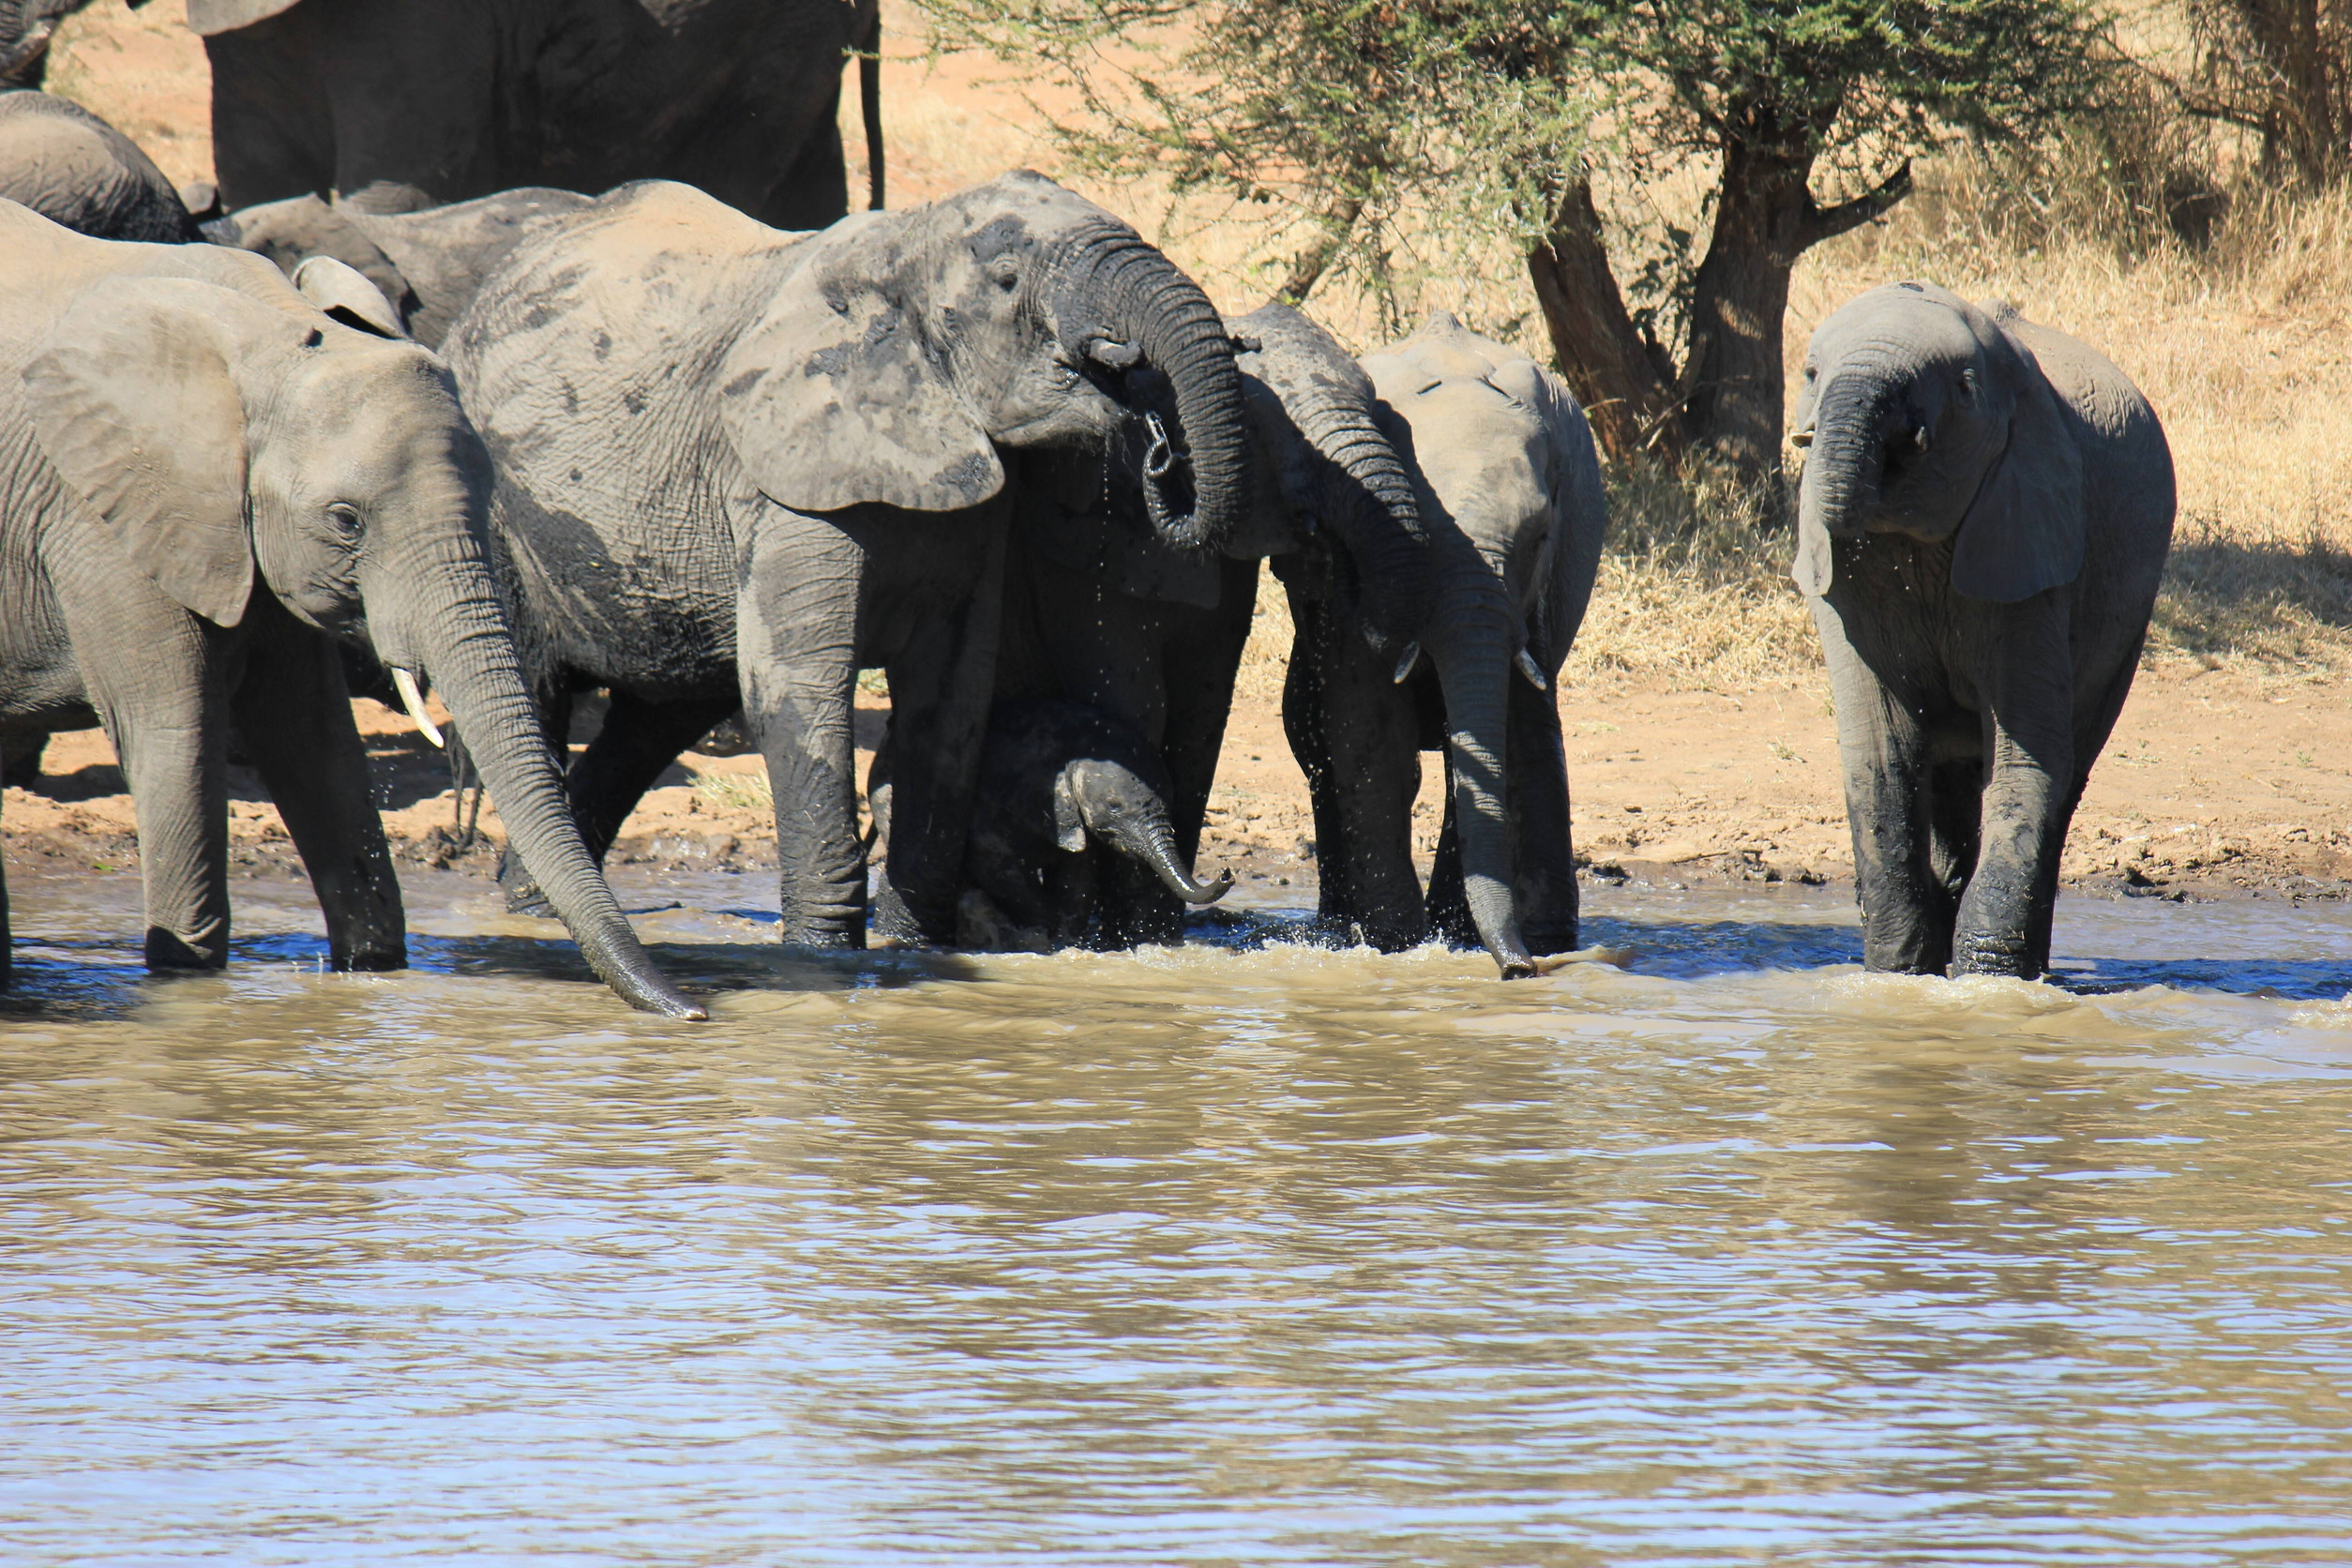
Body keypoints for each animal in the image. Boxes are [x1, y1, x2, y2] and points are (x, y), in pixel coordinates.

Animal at [874, 695, 1242, 944]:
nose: (1227, 873)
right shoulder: (1004, 797)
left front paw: (1067, 941)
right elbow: (995, 865)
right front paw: (1045, 936)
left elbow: (1076, 876)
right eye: (1114, 806)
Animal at [1787, 276, 2173, 972]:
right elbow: (1882, 752)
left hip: (2129, 617)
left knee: (2068, 771)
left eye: (1963, 387)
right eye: (1809, 373)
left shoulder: (2032, 543)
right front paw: (1899, 974)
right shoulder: (1845, 594)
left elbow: (2025, 756)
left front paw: (1985, 980)